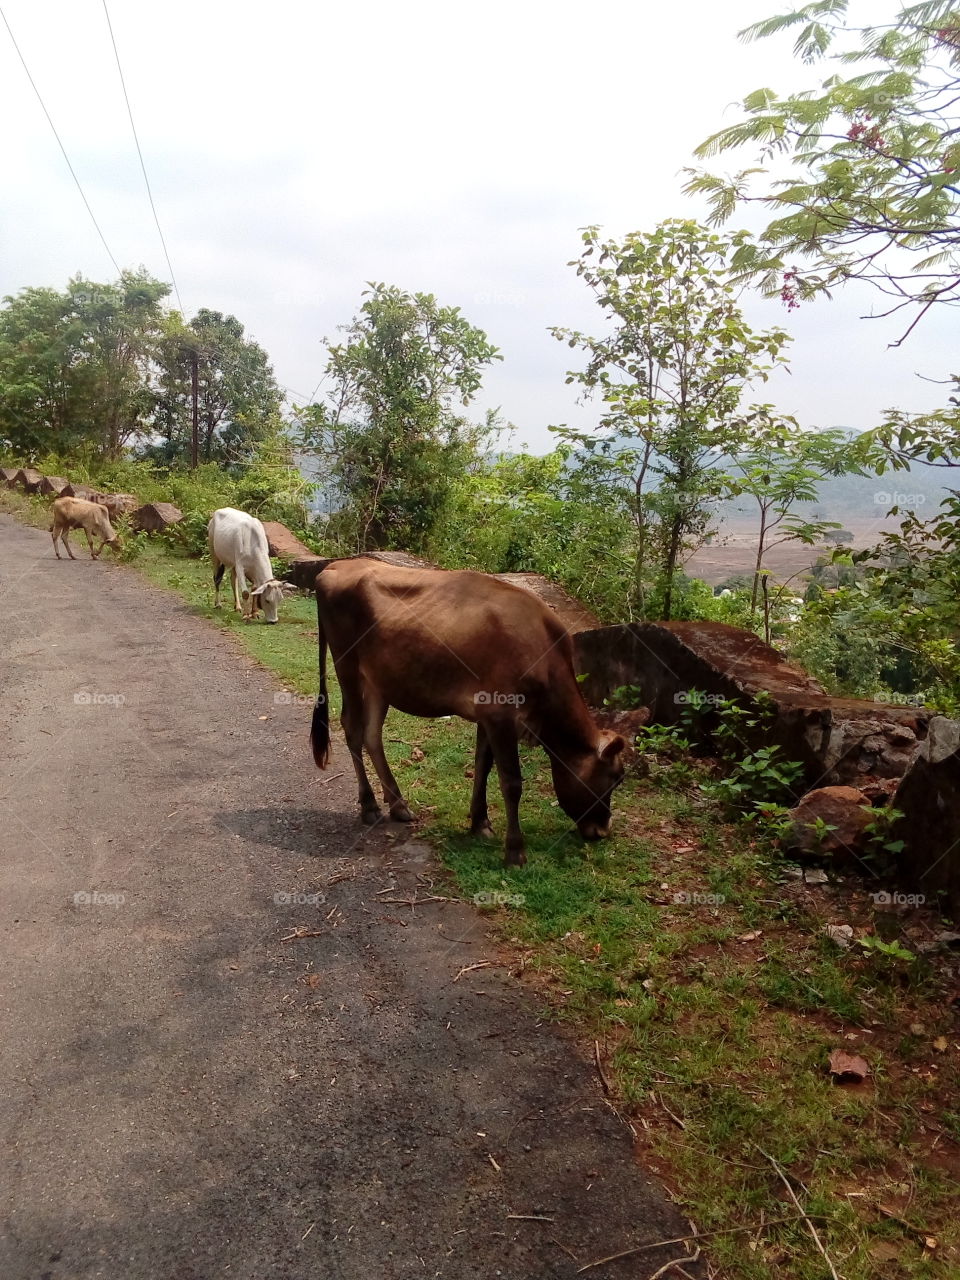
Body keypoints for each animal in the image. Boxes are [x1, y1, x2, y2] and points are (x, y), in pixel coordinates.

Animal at [310, 558, 626, 867]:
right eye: (615, 778)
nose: (603, 830)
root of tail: (336, 566)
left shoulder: (487, 714)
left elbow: (483, 766)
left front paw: (480, 822)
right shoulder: (501, 714)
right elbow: (511, 782)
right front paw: (515, 852)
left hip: (379, 680)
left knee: (371, 733)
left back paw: (399, 805)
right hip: (346, 665)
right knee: (352, 728)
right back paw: (369, 806)